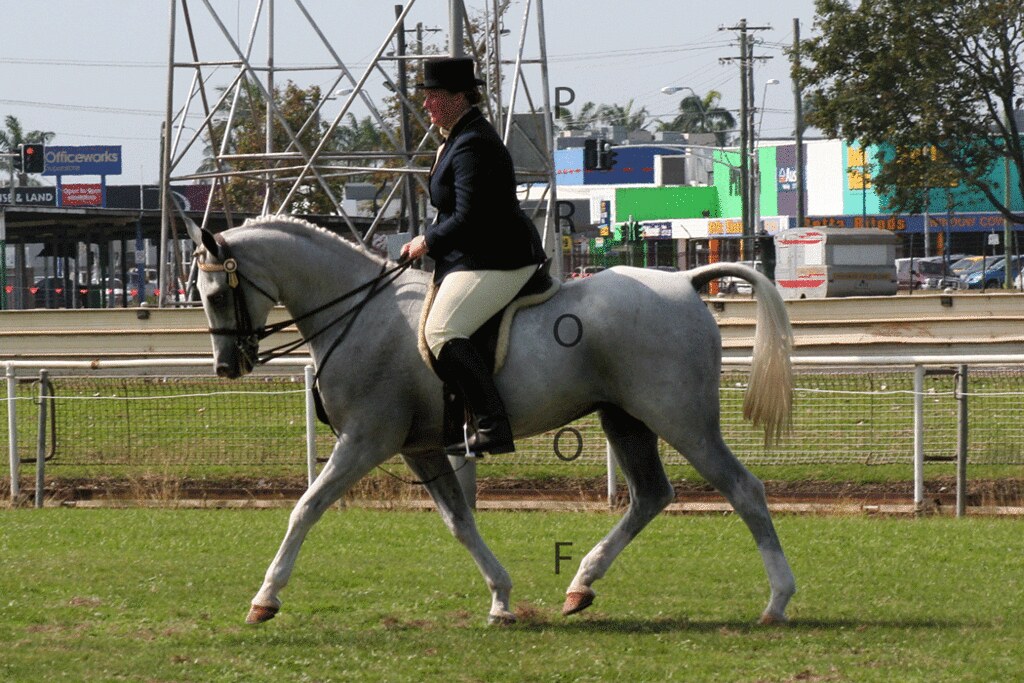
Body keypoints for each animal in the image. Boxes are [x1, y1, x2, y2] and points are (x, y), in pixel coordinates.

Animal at [186, 214, 796, 626]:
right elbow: (459, 522)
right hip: (624, 419)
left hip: (682, 420)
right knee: (650, 495)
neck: (358, 313)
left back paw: (777, 600)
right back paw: (581, 585)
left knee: (743, 489)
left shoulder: (365, 441)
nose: (225, 367)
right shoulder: (420, 449)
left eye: (214, 293)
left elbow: (306, 508)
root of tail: (686, 280)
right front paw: (501, 598)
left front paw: (265, 598)